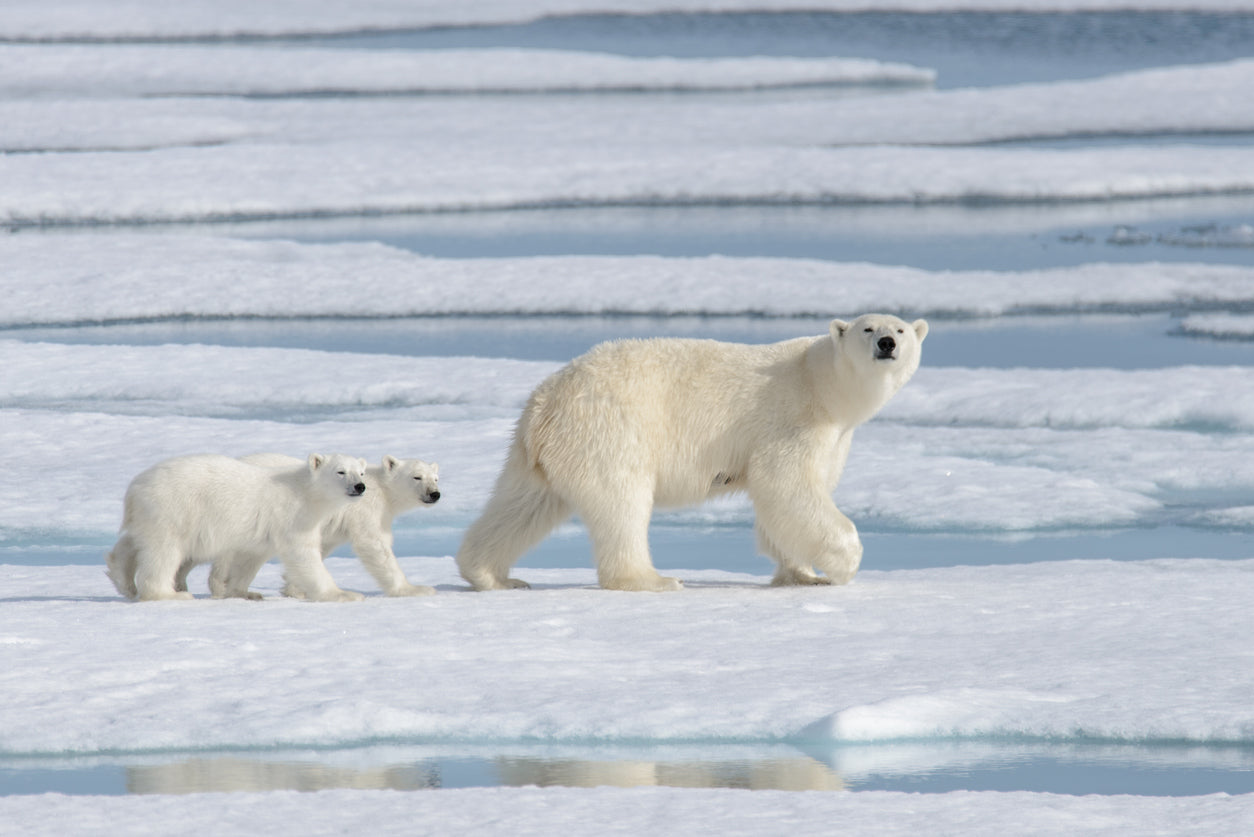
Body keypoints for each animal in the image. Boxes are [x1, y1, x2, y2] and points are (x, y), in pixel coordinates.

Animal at [456, 311, 927, 592]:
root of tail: (545, 403)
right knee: (621, 504)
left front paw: (801, 574)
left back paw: (492, 575)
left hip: (538, 453)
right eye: (868, 328)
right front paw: (843, 565)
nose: (887, 343)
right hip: (611, 431)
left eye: (902, 329)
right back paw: (652, 579)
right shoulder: (794, 419)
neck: (822, 383)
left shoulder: (836, 438)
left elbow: (788, 503)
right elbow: (786, 486)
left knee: (522, 505)